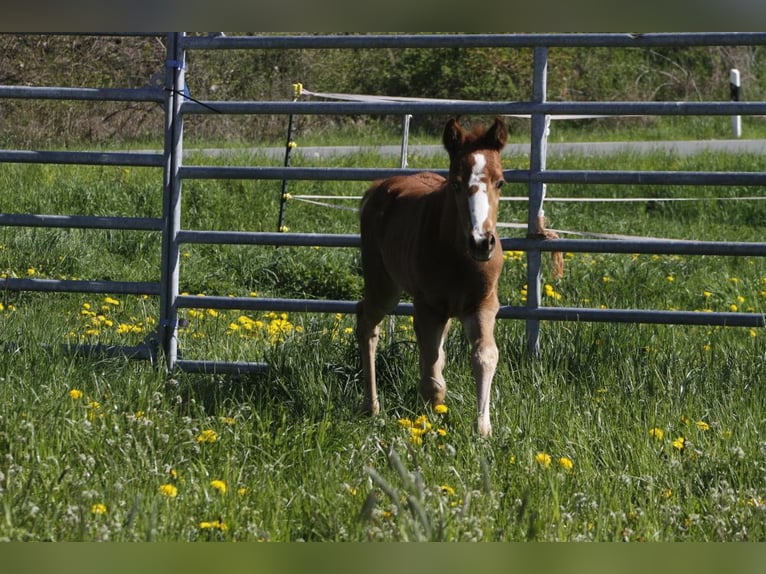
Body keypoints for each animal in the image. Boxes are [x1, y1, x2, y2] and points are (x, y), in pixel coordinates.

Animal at [355, 116, 508, 437]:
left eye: (500, 182)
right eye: (456, 182)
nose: (482, 241)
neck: (459, 256)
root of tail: (379, 187)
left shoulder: (483, 305)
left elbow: (485, 356)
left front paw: (483, 429)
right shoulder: (427, 308)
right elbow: (432, 381)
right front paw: (428, 425)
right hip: (383, 286)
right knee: (366, 323)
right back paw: (371, 407)